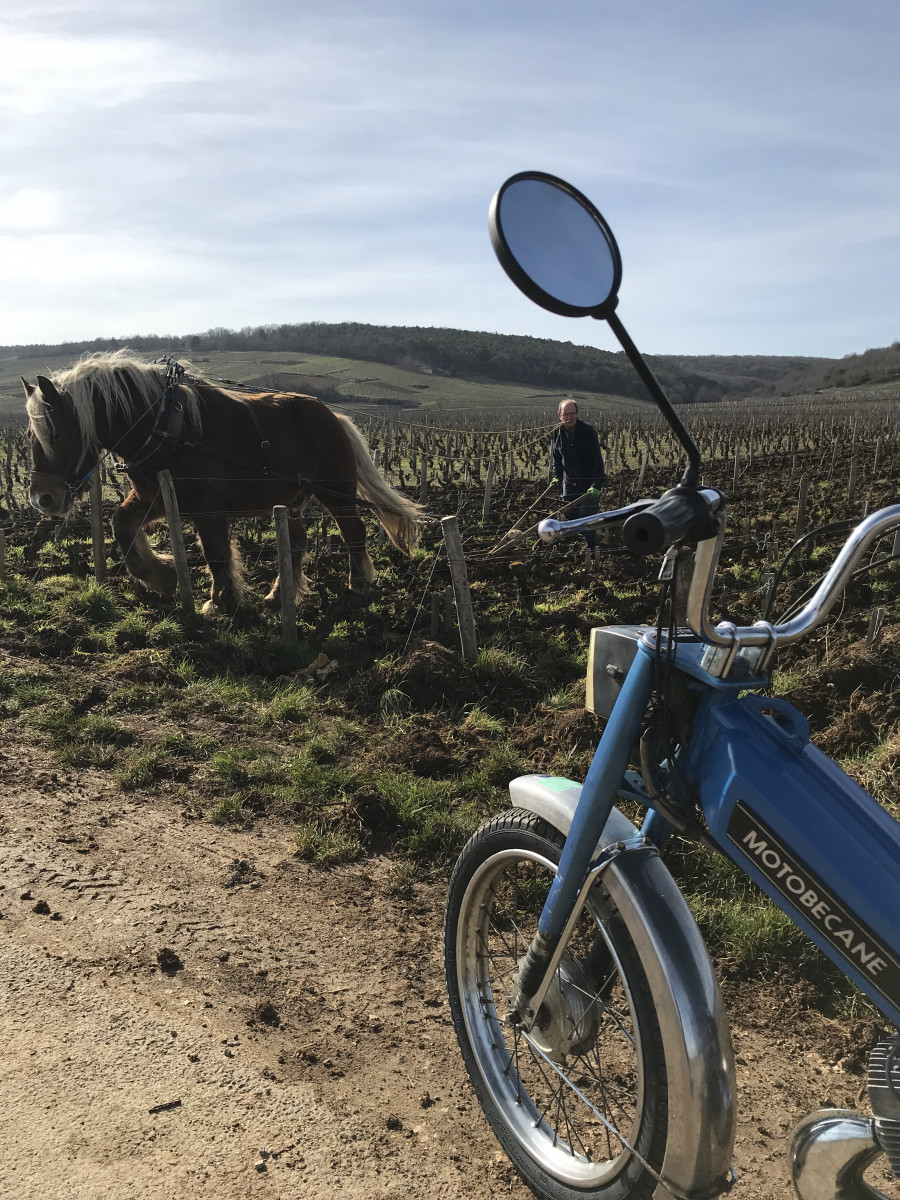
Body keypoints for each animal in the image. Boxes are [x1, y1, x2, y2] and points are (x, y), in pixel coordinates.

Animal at [23, 348, 427, 609]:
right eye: (30, 435)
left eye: (56, 432)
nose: (43, 498)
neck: (166, 426)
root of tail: (333, 416)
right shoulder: (156, 496)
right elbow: (120, 524)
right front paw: (160, 576)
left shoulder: (208, 506)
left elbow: (216, 553)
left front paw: (222, 600)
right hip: (290, 498)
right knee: (296, 542)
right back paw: (280, 594)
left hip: (336, 490)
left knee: (353, 531)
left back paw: (358, 583)